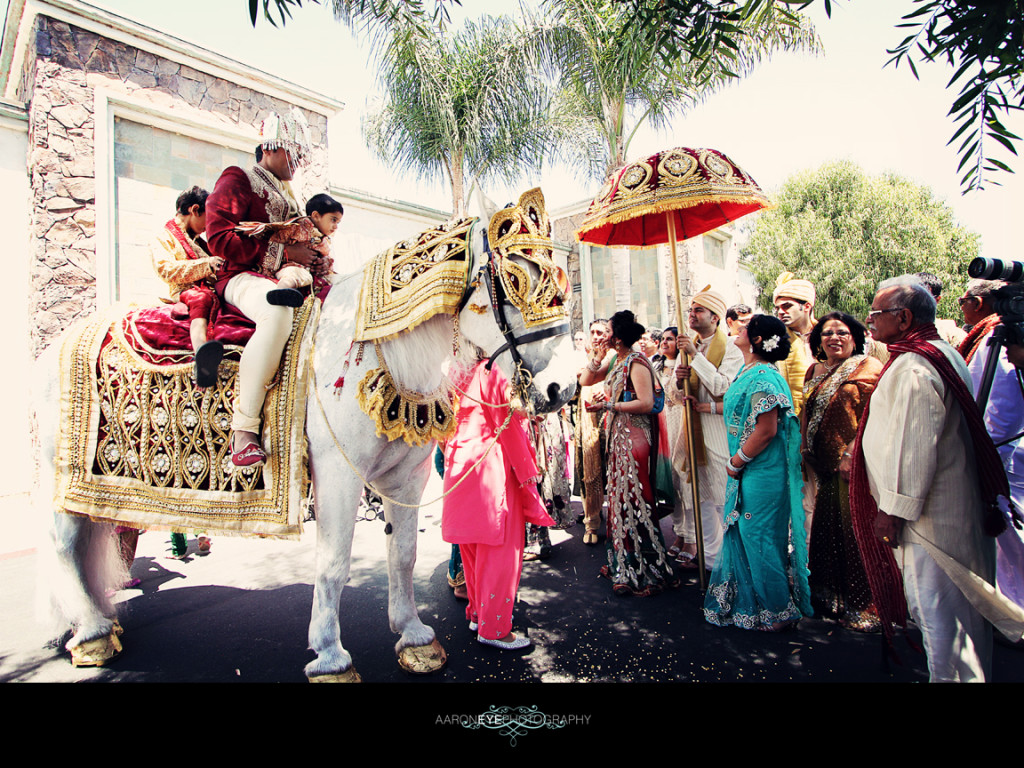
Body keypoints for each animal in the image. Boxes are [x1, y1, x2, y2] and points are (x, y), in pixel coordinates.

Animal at [34, 189, 577, 684]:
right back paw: (92, 634)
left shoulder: (408, 476)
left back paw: (97, 625)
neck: (381, 350)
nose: (564, 388)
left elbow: (402, 554)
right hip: (59, 476)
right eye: (515, 280)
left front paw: (414, 637)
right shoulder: (339, 473)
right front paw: (331, 656)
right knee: (63, 546)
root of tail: (59, 342)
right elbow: (334, 562)